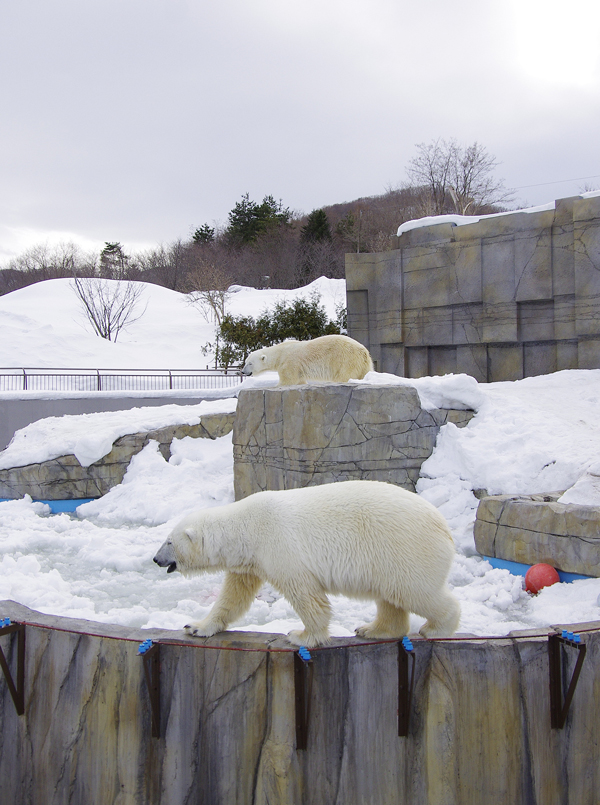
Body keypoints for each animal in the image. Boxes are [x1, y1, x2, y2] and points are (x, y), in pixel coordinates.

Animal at [154, 478, 460, 648]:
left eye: (169, 542)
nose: (156, 559)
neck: (246, 527)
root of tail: (445, 527)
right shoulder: (249, 561)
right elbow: (234, 595)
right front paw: (196, 627)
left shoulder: (279, 546)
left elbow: (305, 594)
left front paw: (301, 635)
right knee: (390, 596)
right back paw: (372, 629)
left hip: (405, 548)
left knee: (414, 591)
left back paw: (436, 628)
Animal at [240, 332, 372, 384]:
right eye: (245, 362)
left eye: (250, 363)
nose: (242, 371)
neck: (280, 353)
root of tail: (363, 351)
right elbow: (299, 381)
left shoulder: (289, 363)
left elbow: (288, 381)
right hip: (364, 364)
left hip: (346, 360)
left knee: (344, 376)